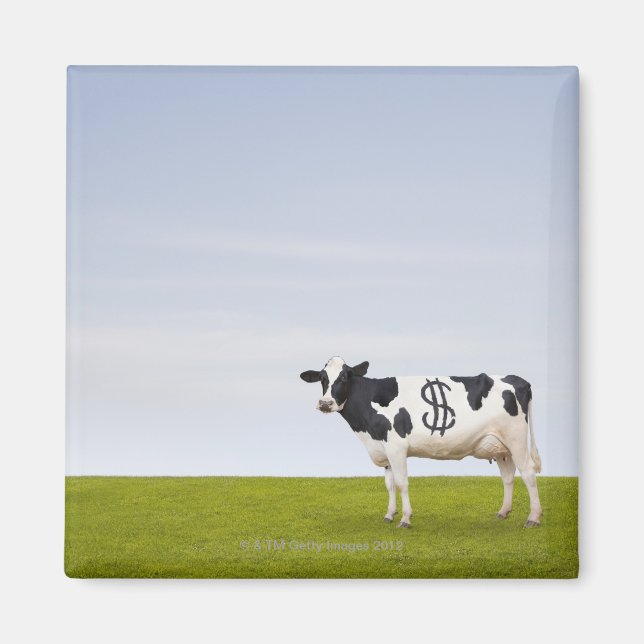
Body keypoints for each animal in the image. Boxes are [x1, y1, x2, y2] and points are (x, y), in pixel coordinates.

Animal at [300, 356, 542, 528]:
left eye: (344, 377)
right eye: (322, 378)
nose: (325, 403)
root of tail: (519, 379)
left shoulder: (396, 447)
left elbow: (401, 483)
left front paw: (405, 519)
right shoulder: (384, 448)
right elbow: (389, 484)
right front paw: (389, 514)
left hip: (516, 439)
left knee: (528, 473)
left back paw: (533, 518)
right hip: (501, 447)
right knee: (508, 477)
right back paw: (503, 512)